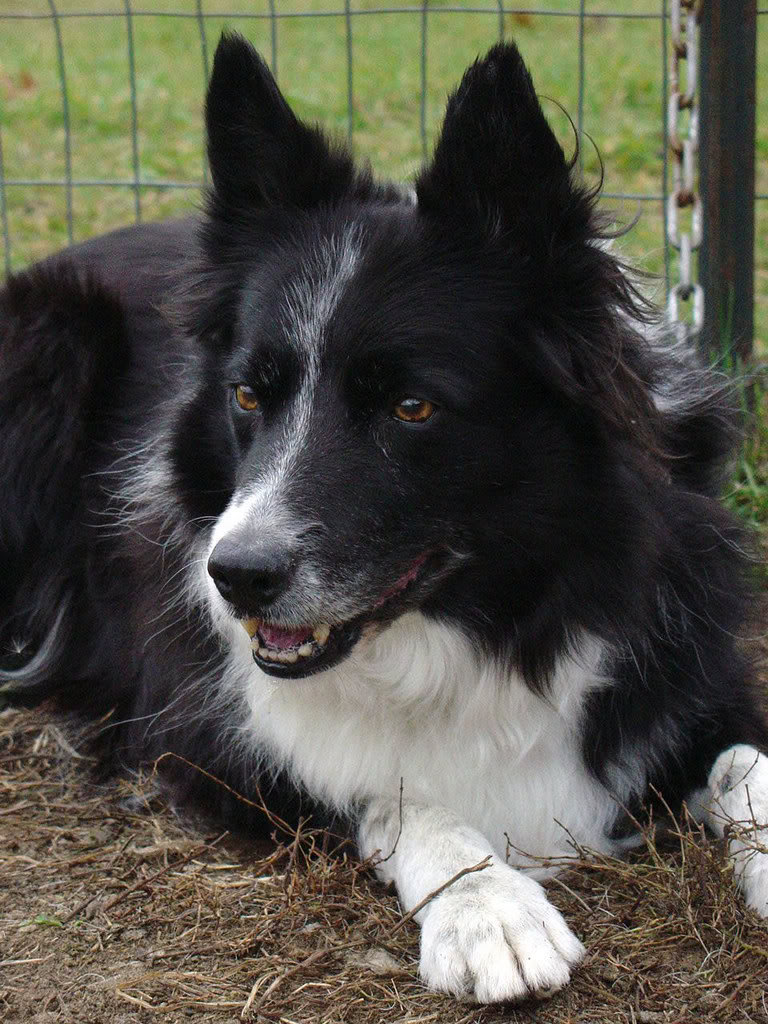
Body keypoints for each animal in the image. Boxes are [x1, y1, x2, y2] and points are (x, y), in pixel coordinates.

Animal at [1, 32, 768, 999]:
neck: (493, 615)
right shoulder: (210, 730)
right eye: (247, 394)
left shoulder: (689, 667)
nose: (235, 579)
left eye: (411, 407)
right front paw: (487, 904)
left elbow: (748, 767)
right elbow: (391, 787)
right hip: (52, 341)